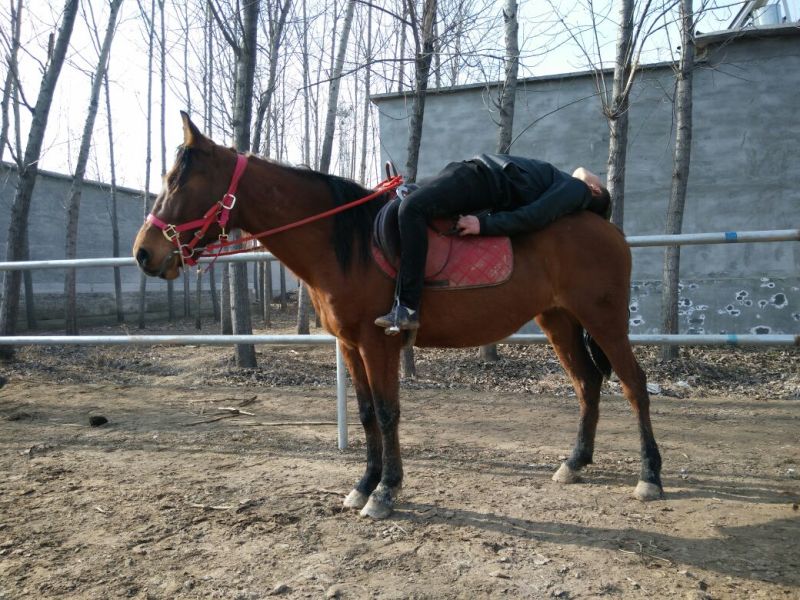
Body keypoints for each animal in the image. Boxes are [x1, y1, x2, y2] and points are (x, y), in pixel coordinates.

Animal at [133, 113, 663, 519]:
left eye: (178, 181)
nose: (144, 253)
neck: (343, 240)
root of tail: (604, 224)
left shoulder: (377, 342)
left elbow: (388, 413)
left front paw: (386, 491)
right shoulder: (350, 344)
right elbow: (368, 413)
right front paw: (364, 485)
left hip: (604, 319)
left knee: (633, 384)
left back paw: (649, 476)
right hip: (559, 320)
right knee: (587, 384)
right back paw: (574, 463)